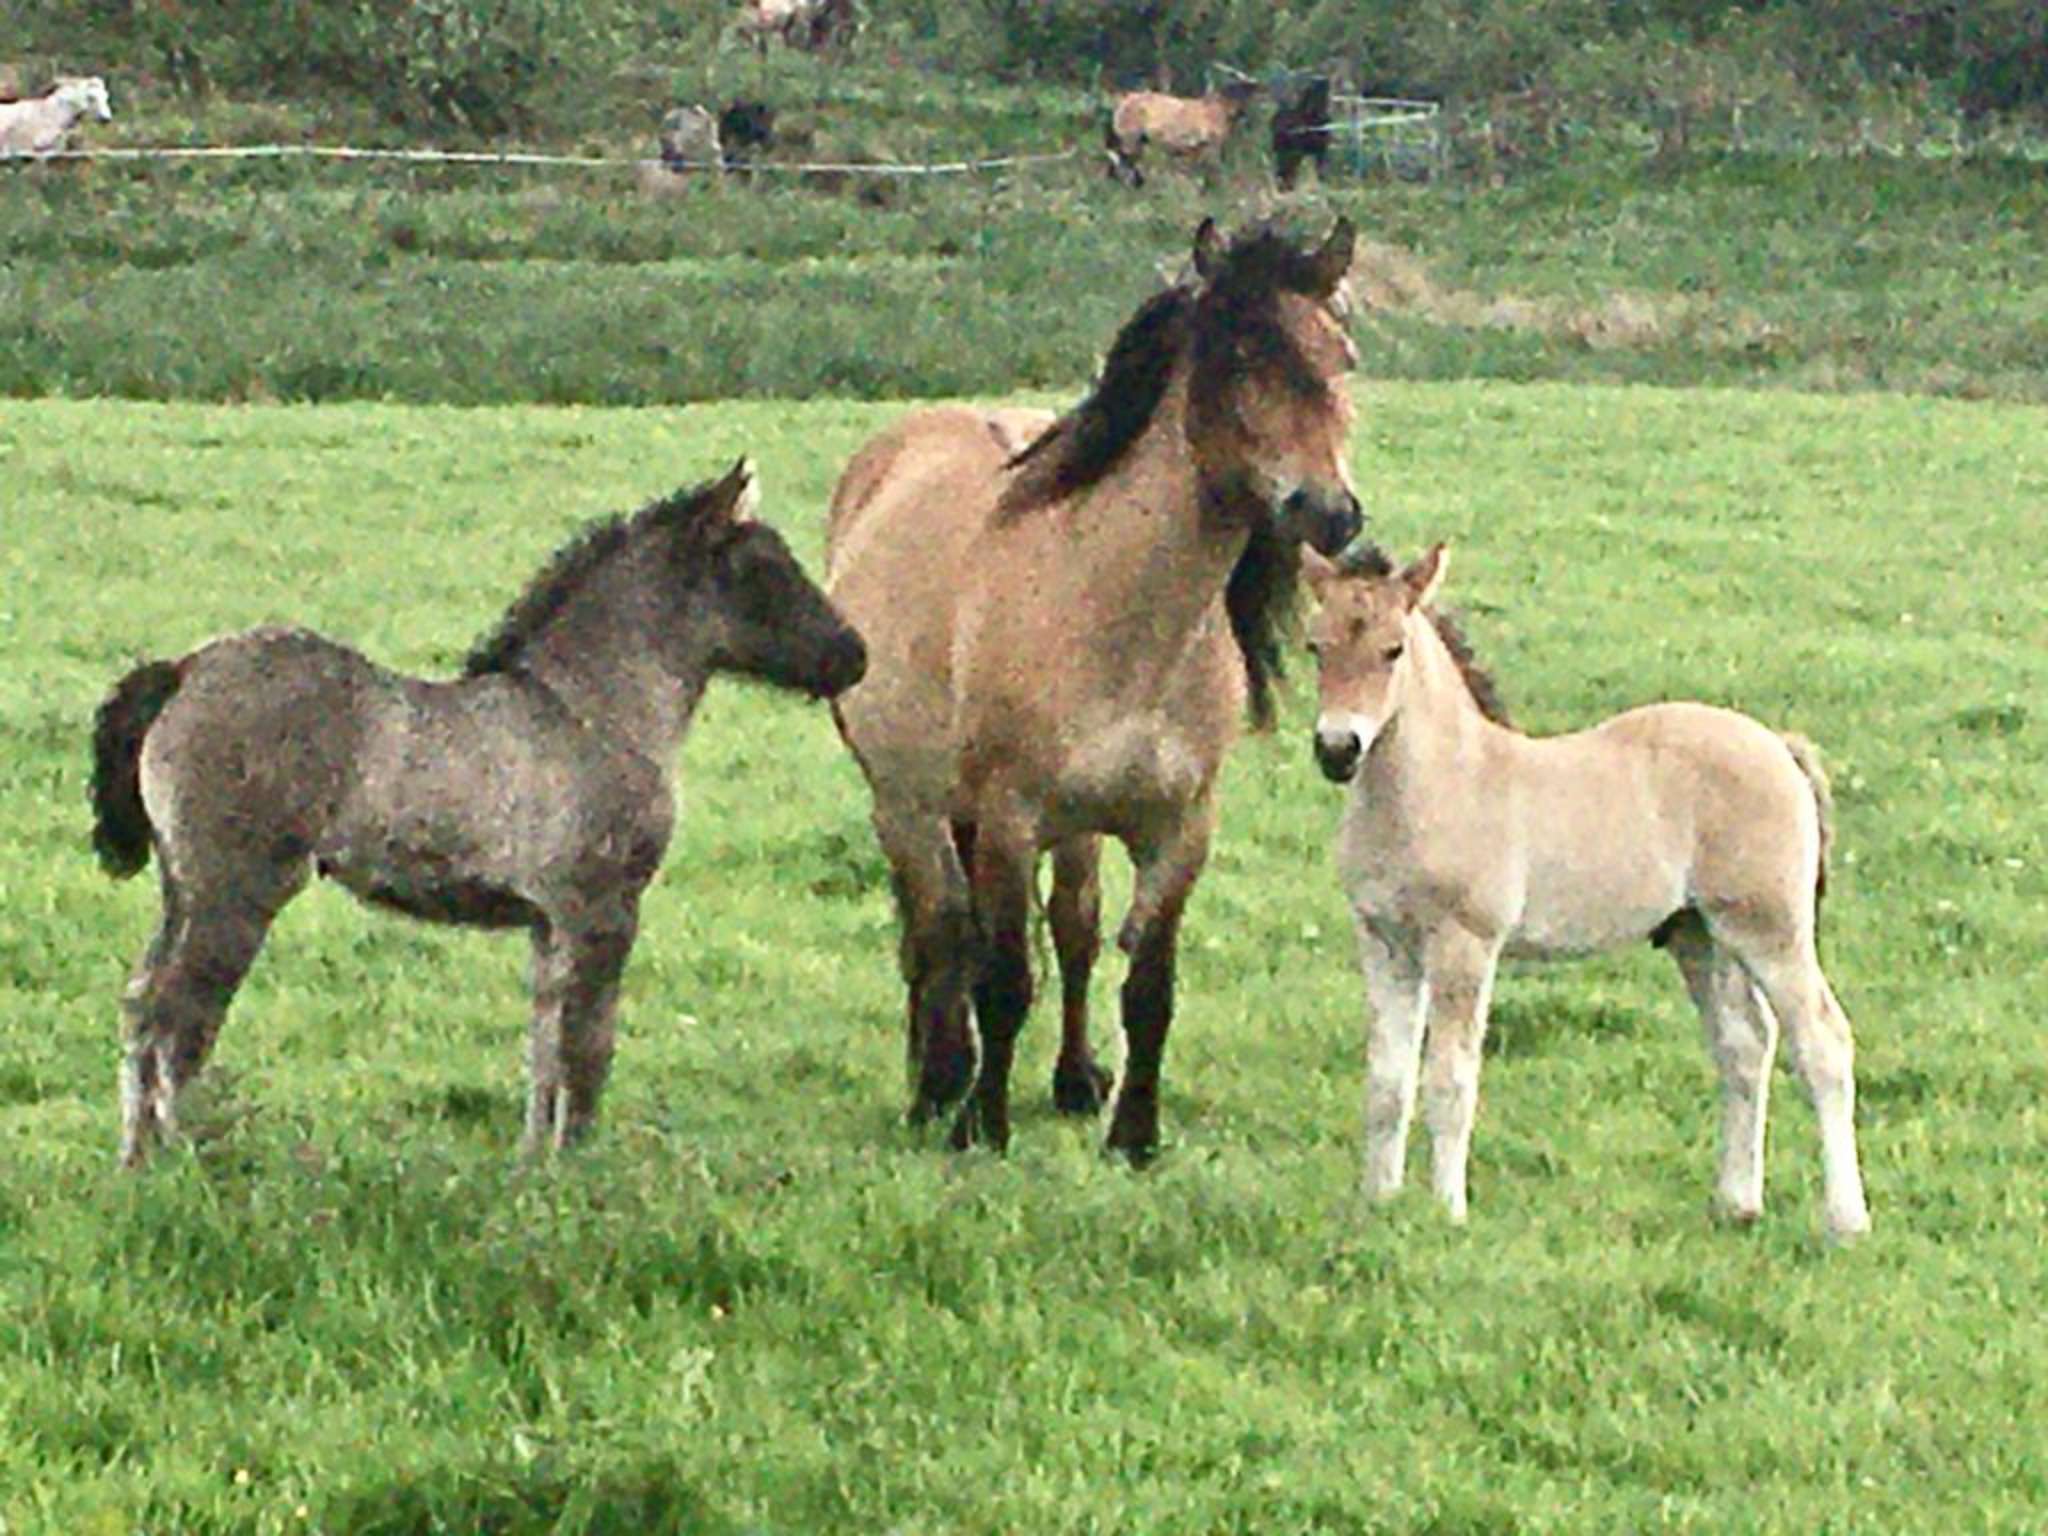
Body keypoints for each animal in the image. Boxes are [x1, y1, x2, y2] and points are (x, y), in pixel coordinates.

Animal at [90, 460, 864, 1163]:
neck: (588, 710)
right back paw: (191, 1164)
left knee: (140, 1004)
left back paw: (135, 1163)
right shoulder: (603, 909)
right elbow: (589, 1047)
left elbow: (545, 1049)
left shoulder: (549, 922)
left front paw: (533, 1169)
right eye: (764, 567)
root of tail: (184, 670)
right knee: (180, 1017)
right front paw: (582, 1174)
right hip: (236, 892)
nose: (852, 655)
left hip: (182, 887)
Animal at [823, 214, 1368, 1155]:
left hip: (1063, 827)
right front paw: (983, 1127)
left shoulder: (1179, 830)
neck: (1118, 619)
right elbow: (1002, 979)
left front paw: (1134, 1137)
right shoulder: (1008, 819)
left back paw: (1072, 1079)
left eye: (1343, 356)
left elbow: (1146, 983)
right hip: (908, 803)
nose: (1328, 513)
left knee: (1069, 926)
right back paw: (937, 1085)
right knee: (937, 930)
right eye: (1239, 360)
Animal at [1310, 548, 1875, 1245]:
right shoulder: (1384, 940)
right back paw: (1736, 1204)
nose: (1337, 750)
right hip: (1700, 934)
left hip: (1771, 929)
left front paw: (1448, 1212)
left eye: (1393, 649)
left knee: (1823, 1042)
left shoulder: (1465, 944)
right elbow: (1388, 1082)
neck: (1443, 783)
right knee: (1744, 1045)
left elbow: (1449, 1080)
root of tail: (1779, 746)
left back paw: (1846, 1220)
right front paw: (1377, 1205)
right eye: (1314, 646)